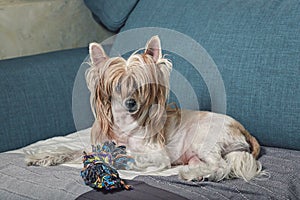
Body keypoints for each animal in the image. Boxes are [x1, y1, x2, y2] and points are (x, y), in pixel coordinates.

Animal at [27, 35, 264, 181]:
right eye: (117, 86)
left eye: (141, 86)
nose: (131, 103)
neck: (125, 126)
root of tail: (244, 130)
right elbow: (74, 151)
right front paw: (42, 157)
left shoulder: (157, 155)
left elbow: (129, 155)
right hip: (198, 153)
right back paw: (197, 171)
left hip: (205, 140)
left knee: (222, 166)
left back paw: (197, 175)